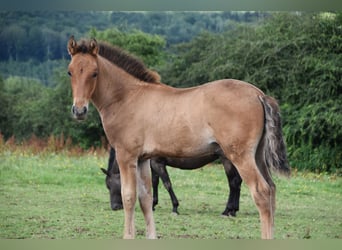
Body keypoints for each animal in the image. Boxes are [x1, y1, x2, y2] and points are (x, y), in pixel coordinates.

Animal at [101, 147, 243, 216]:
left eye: (110, 185)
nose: (115, 207)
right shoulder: (153, 165)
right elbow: (154, 183)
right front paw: (153, 204)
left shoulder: (158, 163)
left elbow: (167, 184)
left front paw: (175, 207)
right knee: (237, 183)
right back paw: (233, 210)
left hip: (227, 160)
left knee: (233, 183)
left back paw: (227, 210)